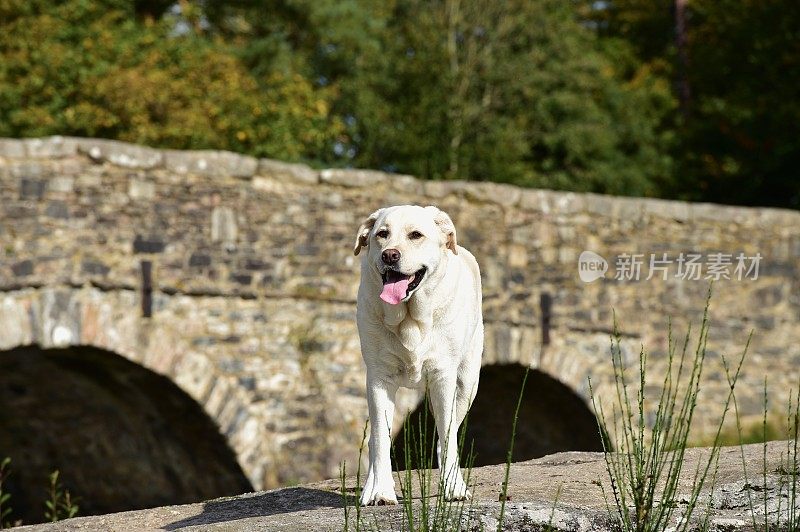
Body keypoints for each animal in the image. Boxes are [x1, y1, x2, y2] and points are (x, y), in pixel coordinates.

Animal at [354, 206, 482, 504]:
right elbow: (381, 437)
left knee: (448, 435)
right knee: (375, 440)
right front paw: (381, 491)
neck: (409, 319)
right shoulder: (378, 378)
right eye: (382, 234)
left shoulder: (443, 377)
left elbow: (447, 435)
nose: (390, 255)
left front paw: (453, 488)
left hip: (467, 384)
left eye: (416, 235)